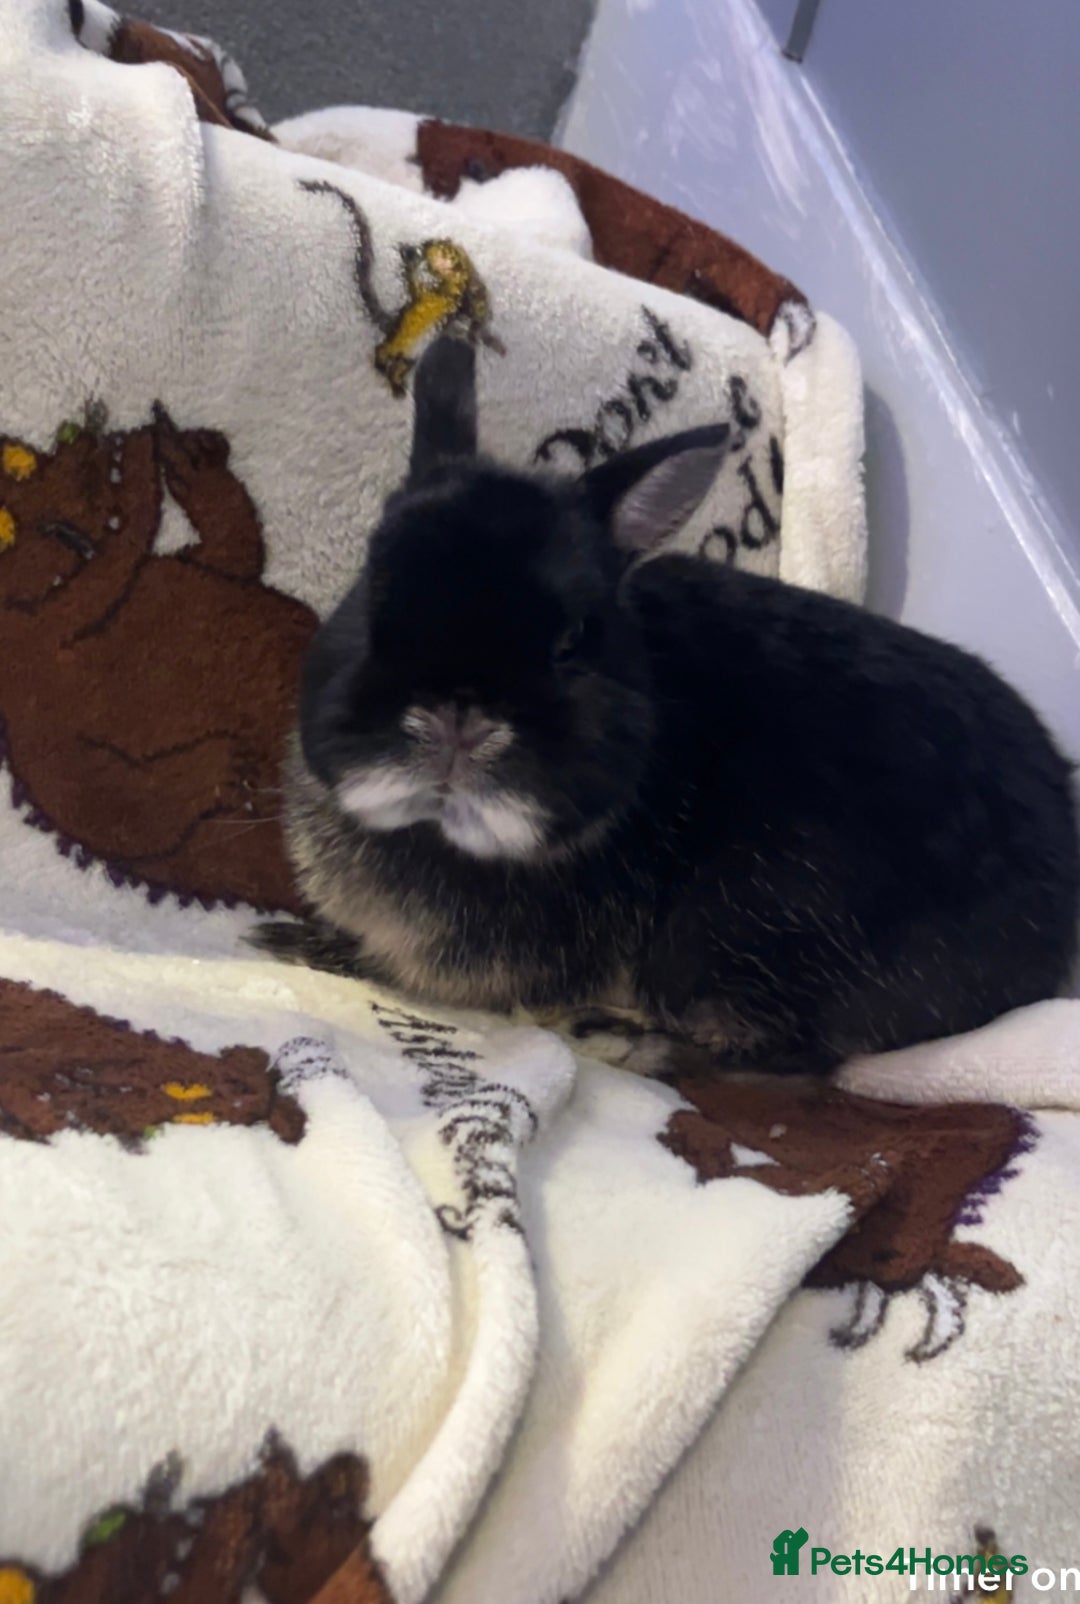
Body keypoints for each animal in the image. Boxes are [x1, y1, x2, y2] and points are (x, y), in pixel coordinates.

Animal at [252, 333, 1080, 1077]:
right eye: (374, 589)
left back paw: (620, 1042)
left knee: (790, 1058)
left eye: (572, 641)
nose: (457, 717)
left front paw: (285, 944)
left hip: (740, 926)